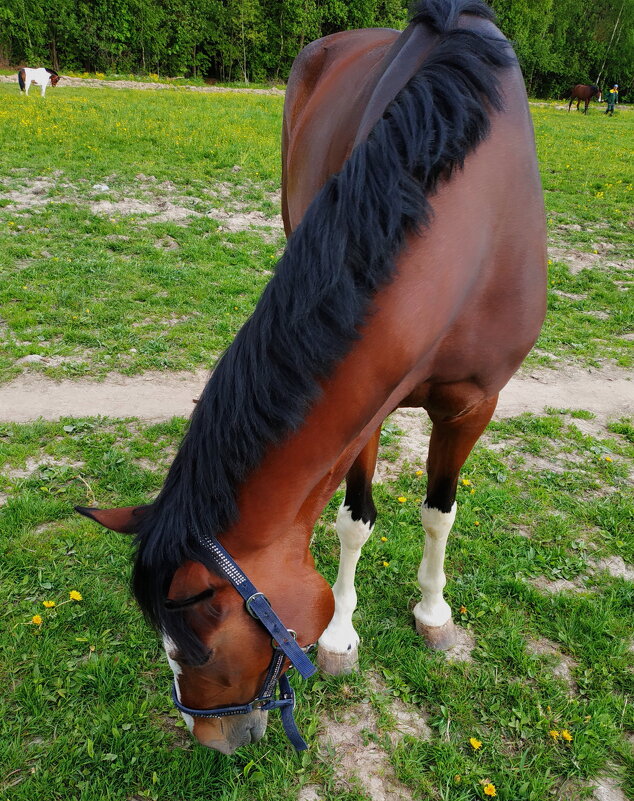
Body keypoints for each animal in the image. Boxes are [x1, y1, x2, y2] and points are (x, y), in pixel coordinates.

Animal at [78, 0, 544, 756]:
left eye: (199, 650)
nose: (211, 739)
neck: (477, 216)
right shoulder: (370, 406)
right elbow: (354, 522)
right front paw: (341, 635)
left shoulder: (474, 403)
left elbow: (439, 512)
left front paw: (433, 611)